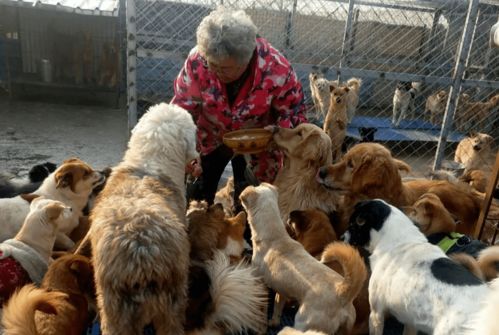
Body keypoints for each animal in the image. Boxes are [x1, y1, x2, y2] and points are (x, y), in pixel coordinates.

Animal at [242, 184, 368, 335]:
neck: (275, 237)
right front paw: (273, 322)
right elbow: (277, 307)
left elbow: (263, 310)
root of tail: (343, 293)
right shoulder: (282, 290)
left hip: (303, 322)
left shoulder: (260, 283)